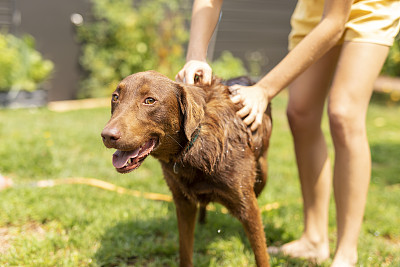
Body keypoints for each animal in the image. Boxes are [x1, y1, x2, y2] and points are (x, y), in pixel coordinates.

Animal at [101, 70, 274, 266]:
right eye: (115, 97)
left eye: (150, 100)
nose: (107, 136)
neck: (194, 146)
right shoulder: (183, 203)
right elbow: (185, 250)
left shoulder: (248, 206)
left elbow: (261, 254)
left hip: (261, 176)